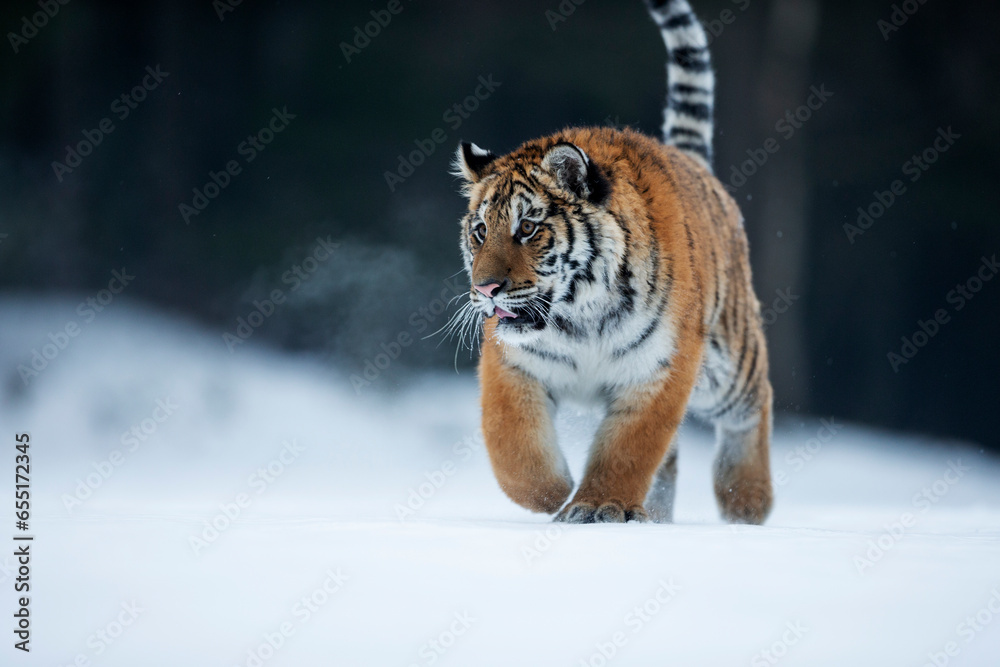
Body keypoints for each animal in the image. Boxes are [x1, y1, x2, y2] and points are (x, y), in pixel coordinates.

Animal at [450, 0, 773, 524]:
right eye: (480, 231)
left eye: (527, 228)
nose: (485, 290)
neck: (581, 311)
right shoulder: (513, 363)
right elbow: (514, 444)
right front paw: (552, 493)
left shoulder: (661, 367)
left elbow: (629, 448)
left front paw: (599, 505)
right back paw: (660, 515)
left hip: (729, 360)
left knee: (754, 402)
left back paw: (747, 505)